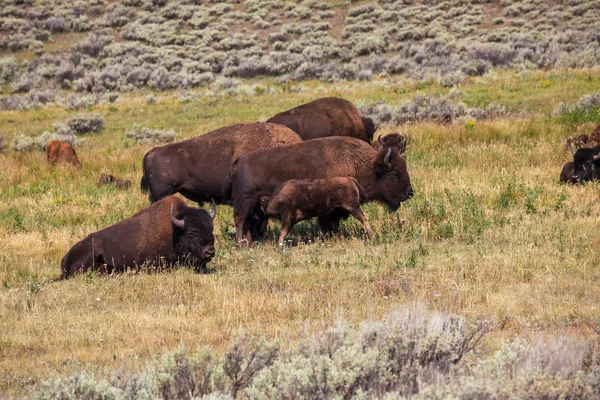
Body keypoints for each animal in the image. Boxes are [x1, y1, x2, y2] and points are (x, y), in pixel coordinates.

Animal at [225, 136, 412, 245]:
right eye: (395, 173)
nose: (410, 193)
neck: (361, 164)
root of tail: (239, 161)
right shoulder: (333, 208)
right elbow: (330, 223)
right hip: (245, 202)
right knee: (240, 221)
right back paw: (241, 245)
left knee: (248, 222)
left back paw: (250, 243)